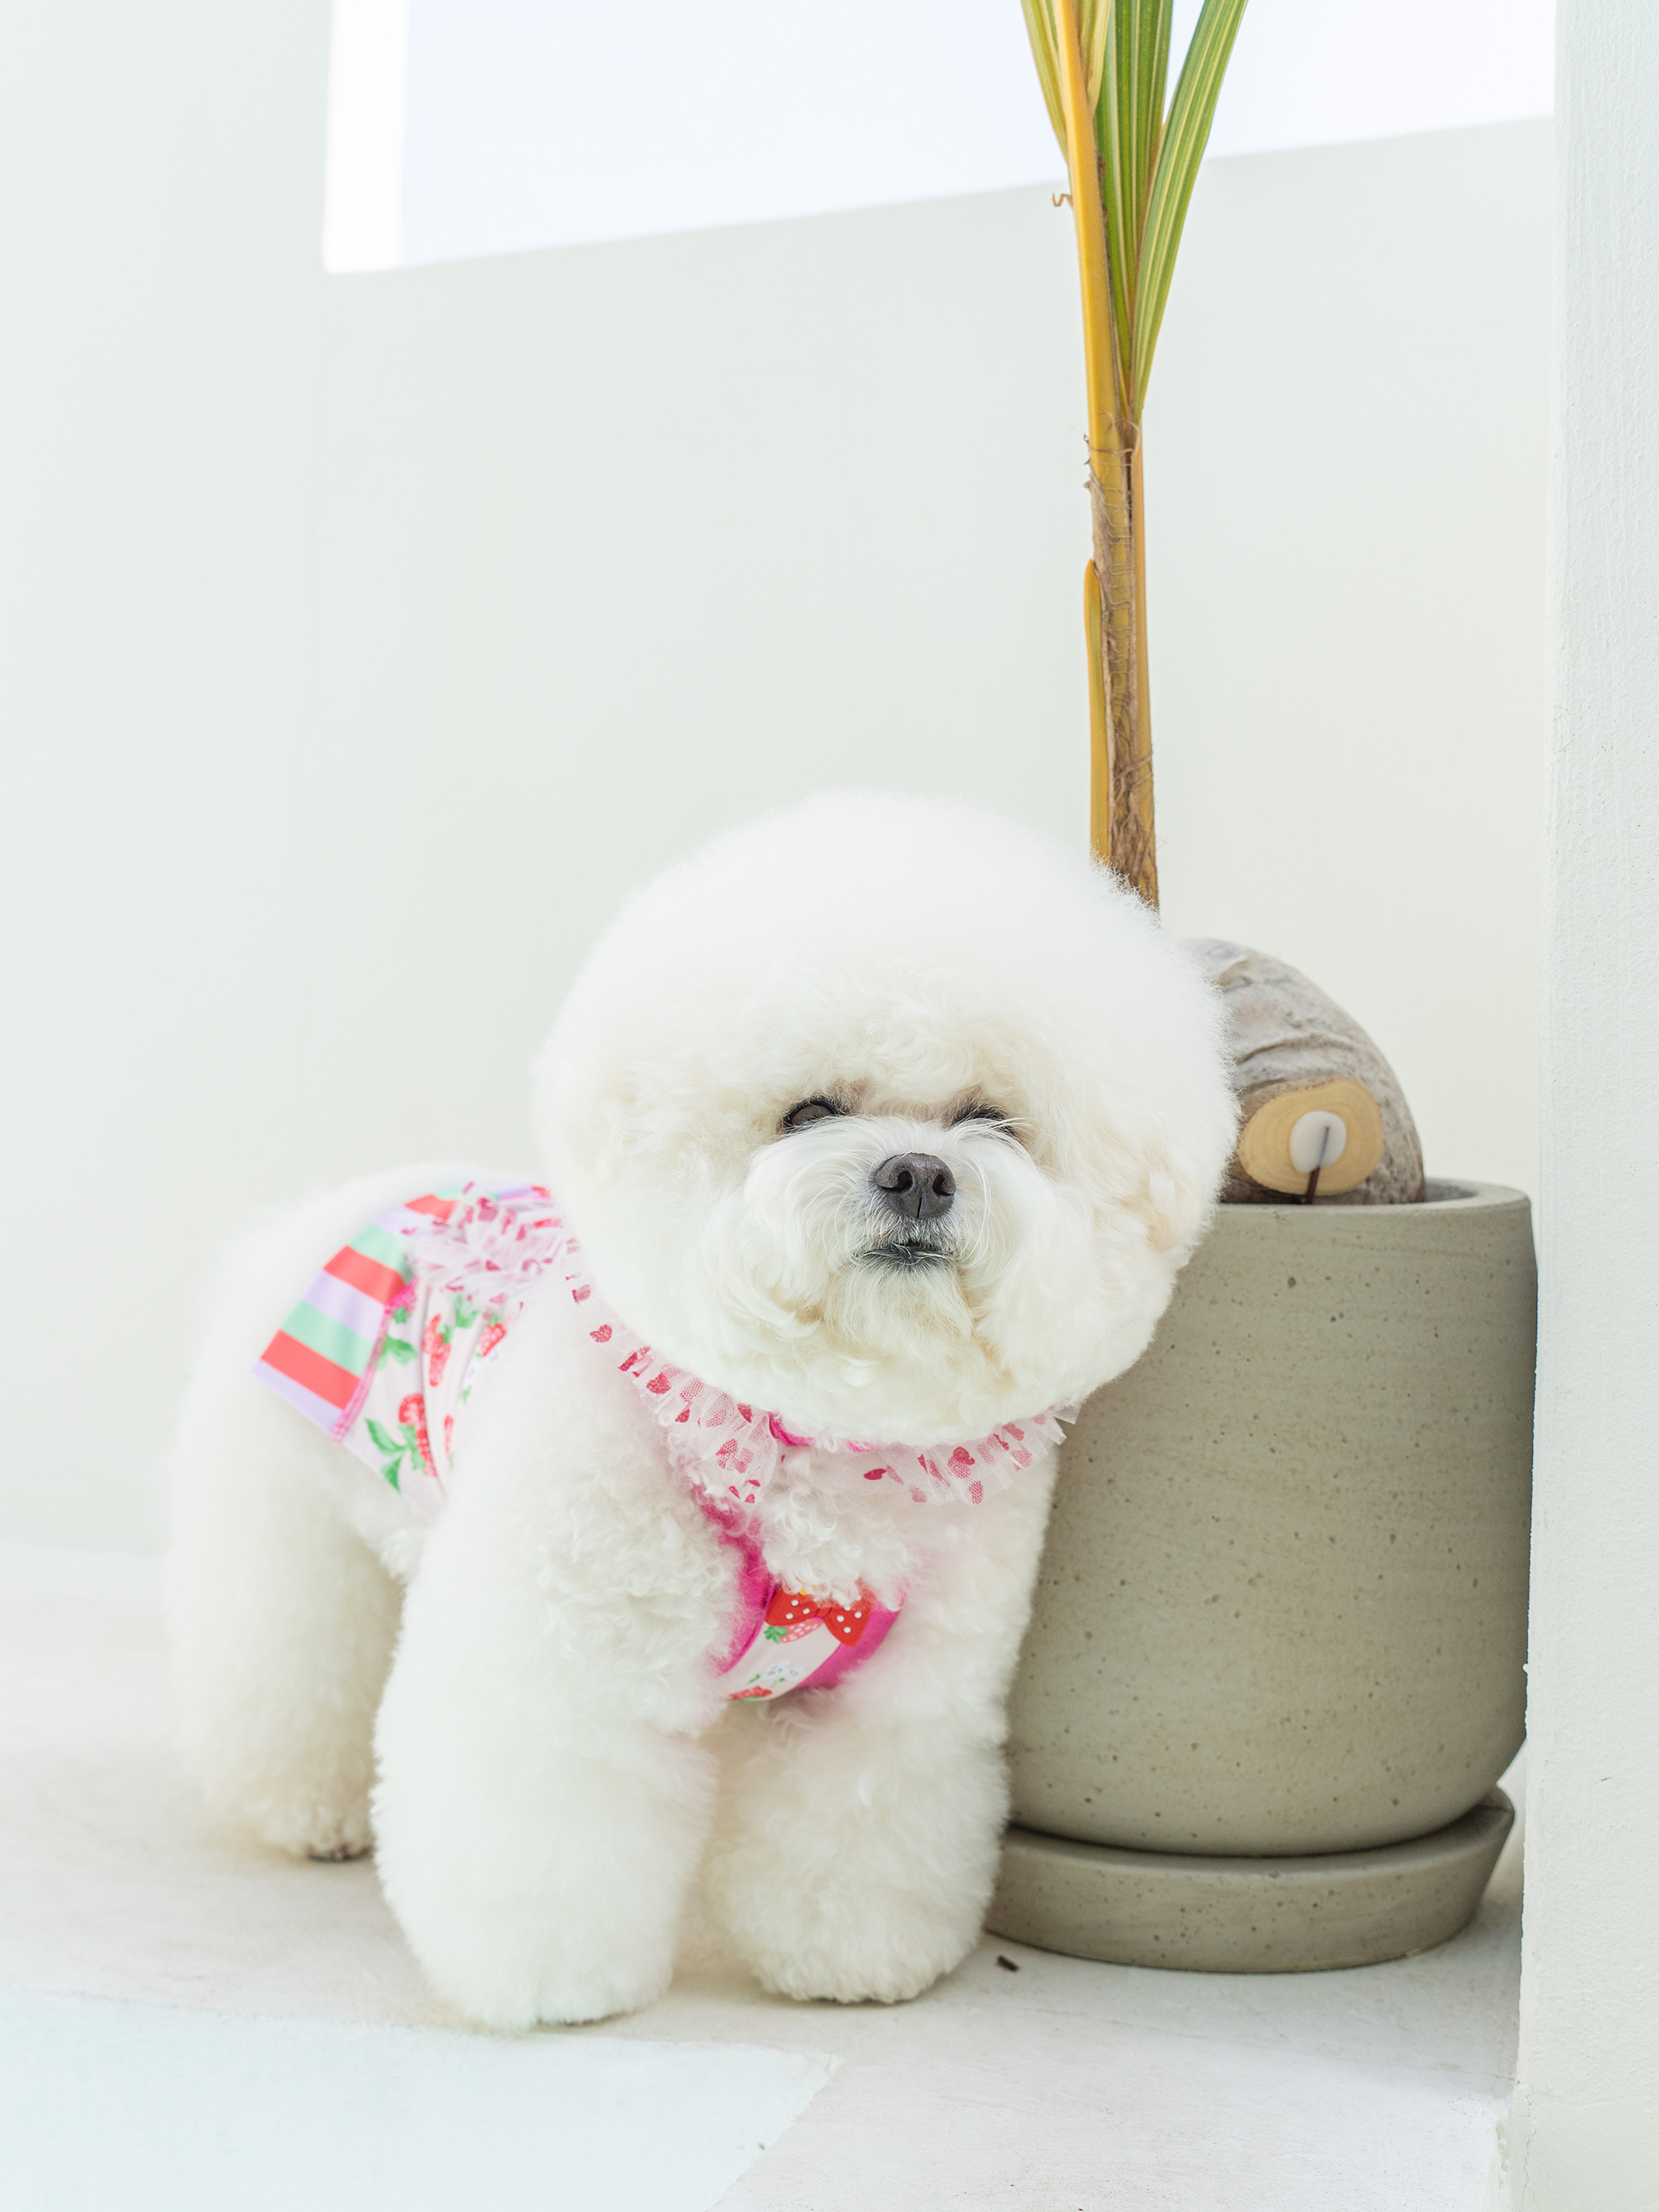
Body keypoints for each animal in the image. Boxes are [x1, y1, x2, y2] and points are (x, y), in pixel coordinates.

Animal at [167, 791, 1236, 2027]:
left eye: (992, 1119)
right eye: (807, 1110)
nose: (919, 1172)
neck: (816, 1446)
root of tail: (322, 1207)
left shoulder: (889, 1708)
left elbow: (854, 1829)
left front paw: (849, 1957)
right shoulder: (563, 1669)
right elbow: (545, 1824)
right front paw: (550, 1981)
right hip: (288, 1532)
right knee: (284, 1671)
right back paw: (311, 1812)